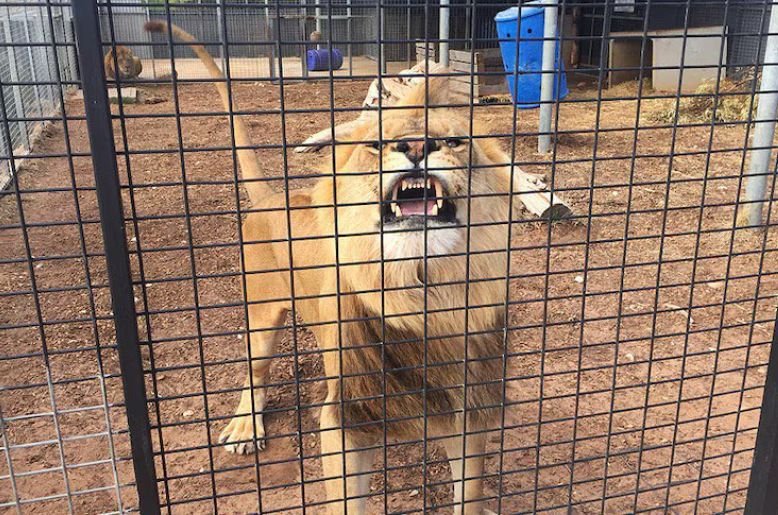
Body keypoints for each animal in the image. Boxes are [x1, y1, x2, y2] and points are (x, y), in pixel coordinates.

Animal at [145, 20, 531, 515]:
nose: (416, 146)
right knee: (255, 371)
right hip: (261, 316)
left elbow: (470, 495)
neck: (420, 292)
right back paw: (244, 428)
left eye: (452, 142)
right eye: (376, 145)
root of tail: (273, 196)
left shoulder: (468, 410)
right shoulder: (343, 418)